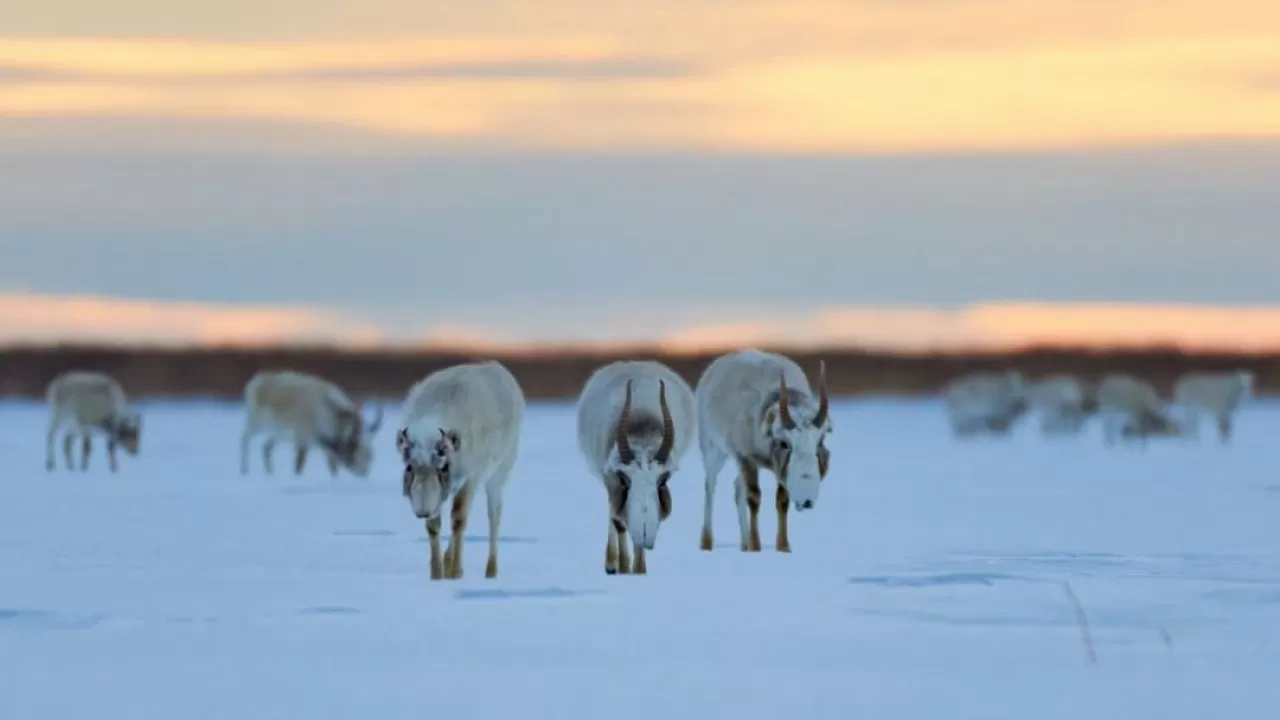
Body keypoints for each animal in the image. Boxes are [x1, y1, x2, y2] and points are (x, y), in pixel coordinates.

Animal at [239, 368, 378, 476]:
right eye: (354, 448)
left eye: (370, 455)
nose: (364, 473)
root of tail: (257, 381)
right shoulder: (303, 440)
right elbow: (299, 465)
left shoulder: (327, 446)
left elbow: (332, 467)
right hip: (256, 423)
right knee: (245, 438)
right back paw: (244, 470)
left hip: (278, 433)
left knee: (266, 447)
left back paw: (270, 473)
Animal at [394, 358, 524, 576]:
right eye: (409, 467)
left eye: (443, 466)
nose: (422, 511)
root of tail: (499, 368)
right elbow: (434, 526)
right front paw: (437, 573)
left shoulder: (472, 476)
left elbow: (459, 519)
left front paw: (456, 572)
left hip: (499, 472)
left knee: (493, 515)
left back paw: (491, 570)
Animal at [578, 356, 696, 571]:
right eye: (625, 479)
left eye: (662, 480)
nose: (645, 532)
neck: (641, 425)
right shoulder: (612, 479)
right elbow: (619, 521)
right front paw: (624, 568)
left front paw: (639, 570)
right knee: (613, 515)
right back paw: (611, 564)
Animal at [696, 351, 834, 550]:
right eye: (784, 443)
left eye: (820, 441)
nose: (806, 500)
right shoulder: (745, 457)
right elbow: (754, 498)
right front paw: (756, 546)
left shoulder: (775, 467)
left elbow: (782, 500)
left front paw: (783, 547)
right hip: (713, 449)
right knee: (710, 486)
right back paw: (707, 542)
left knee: (737, 488)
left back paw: (744, 544)